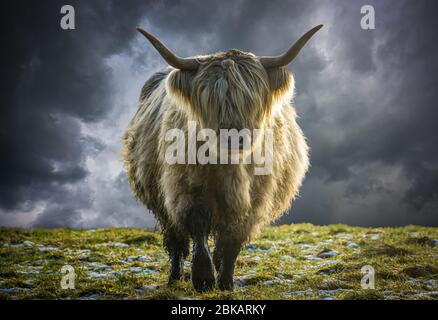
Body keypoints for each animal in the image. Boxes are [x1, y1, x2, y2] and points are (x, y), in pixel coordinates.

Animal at [122, 24, 322, 290]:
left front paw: (226, 281)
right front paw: (204, 278)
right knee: (176, 240)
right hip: (160, 201)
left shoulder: (254, 200)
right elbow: (198, 226)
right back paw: (175, 277)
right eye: (210, 99)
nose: (234, 138)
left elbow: (232, 240)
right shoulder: (186, 189)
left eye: (250, 99)